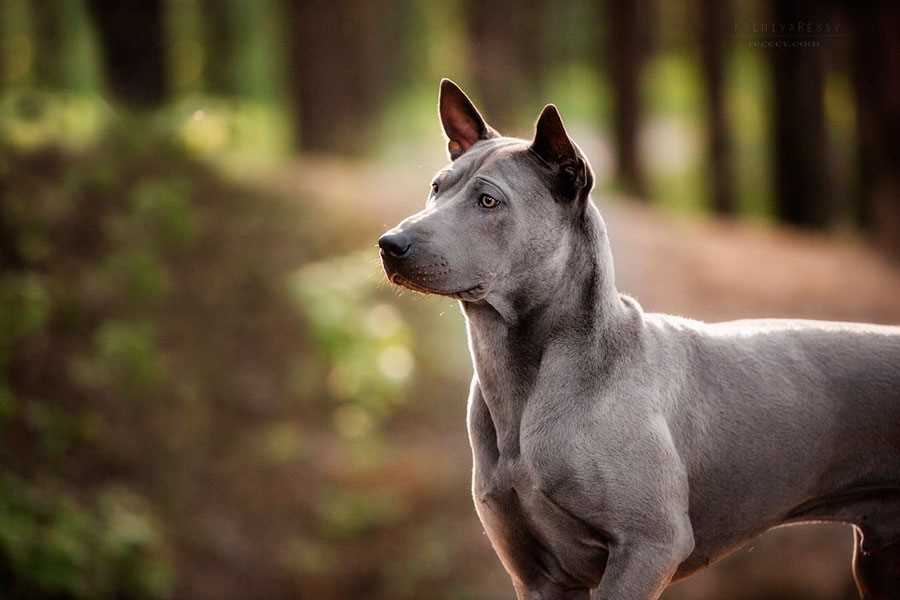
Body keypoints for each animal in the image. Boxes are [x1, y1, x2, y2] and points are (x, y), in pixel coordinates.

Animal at [376, 78, 900, 596]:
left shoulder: (649, 545)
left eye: (489, 201)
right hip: (879, 562)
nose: (389, 244)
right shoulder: (537, 576)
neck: (524, 380)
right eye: (436, 188)